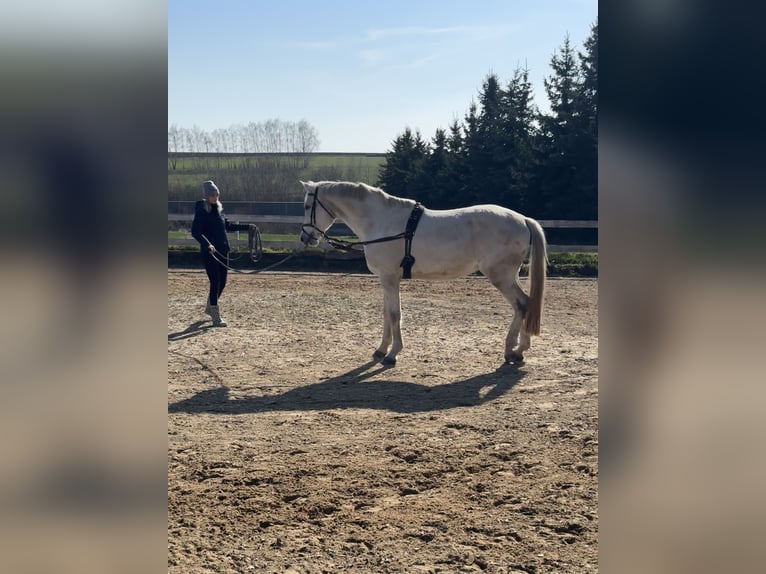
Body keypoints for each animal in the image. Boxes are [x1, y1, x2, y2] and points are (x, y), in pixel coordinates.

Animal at [299, 180, 547, 366]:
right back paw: (517, 349)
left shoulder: (390, 278)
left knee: (522, 304)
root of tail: (523, 220)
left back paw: (514, 349)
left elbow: (395, 314)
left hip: (501, 277)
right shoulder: (385, 279)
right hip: (510, 276)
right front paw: (381, 350)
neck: (380, 221)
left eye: (306, 206)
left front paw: (392, 354)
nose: (305, 237)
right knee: (525, 304)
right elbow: (386, 313)